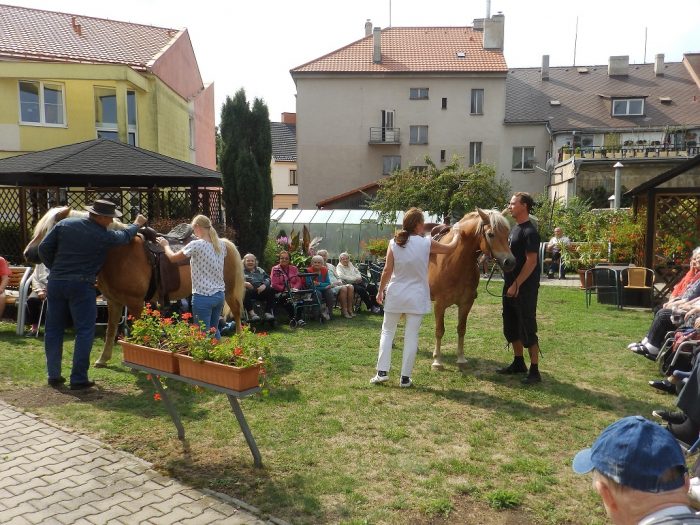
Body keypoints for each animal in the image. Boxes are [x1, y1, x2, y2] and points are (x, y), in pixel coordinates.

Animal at [23, 207, 245, 367]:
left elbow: (141, 333)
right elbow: (111, 330)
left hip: (228, 292)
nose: (28, 254)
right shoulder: (114, 301)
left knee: (236, 312)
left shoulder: (136, 303)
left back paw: (240, 341)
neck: (118, 252)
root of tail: (223, 242)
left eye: (49, 229)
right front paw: (103, 359)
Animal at [428, 208, 515, 370]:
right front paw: (437, 361)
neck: (454, 261)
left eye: (507, 233)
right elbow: (439, 330)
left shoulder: (466, 303)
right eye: (491, 234)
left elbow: (461, 329)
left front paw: (461, 359)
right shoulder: (439, 304)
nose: (510, 262)